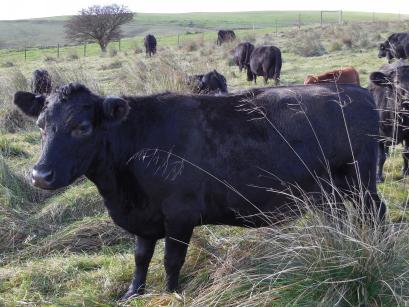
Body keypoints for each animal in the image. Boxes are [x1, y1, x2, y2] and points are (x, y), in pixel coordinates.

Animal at [12, 82, 382, 300]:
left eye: (83, 127)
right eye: (40, 125)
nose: (40, 174)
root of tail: (356, 90)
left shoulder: (180, 215)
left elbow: (171, 260)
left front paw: (171, 294)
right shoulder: (144, 218)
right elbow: (141, 257)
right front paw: (133, 292)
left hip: (360, 182)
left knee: (376, 213)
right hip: (330, 192)